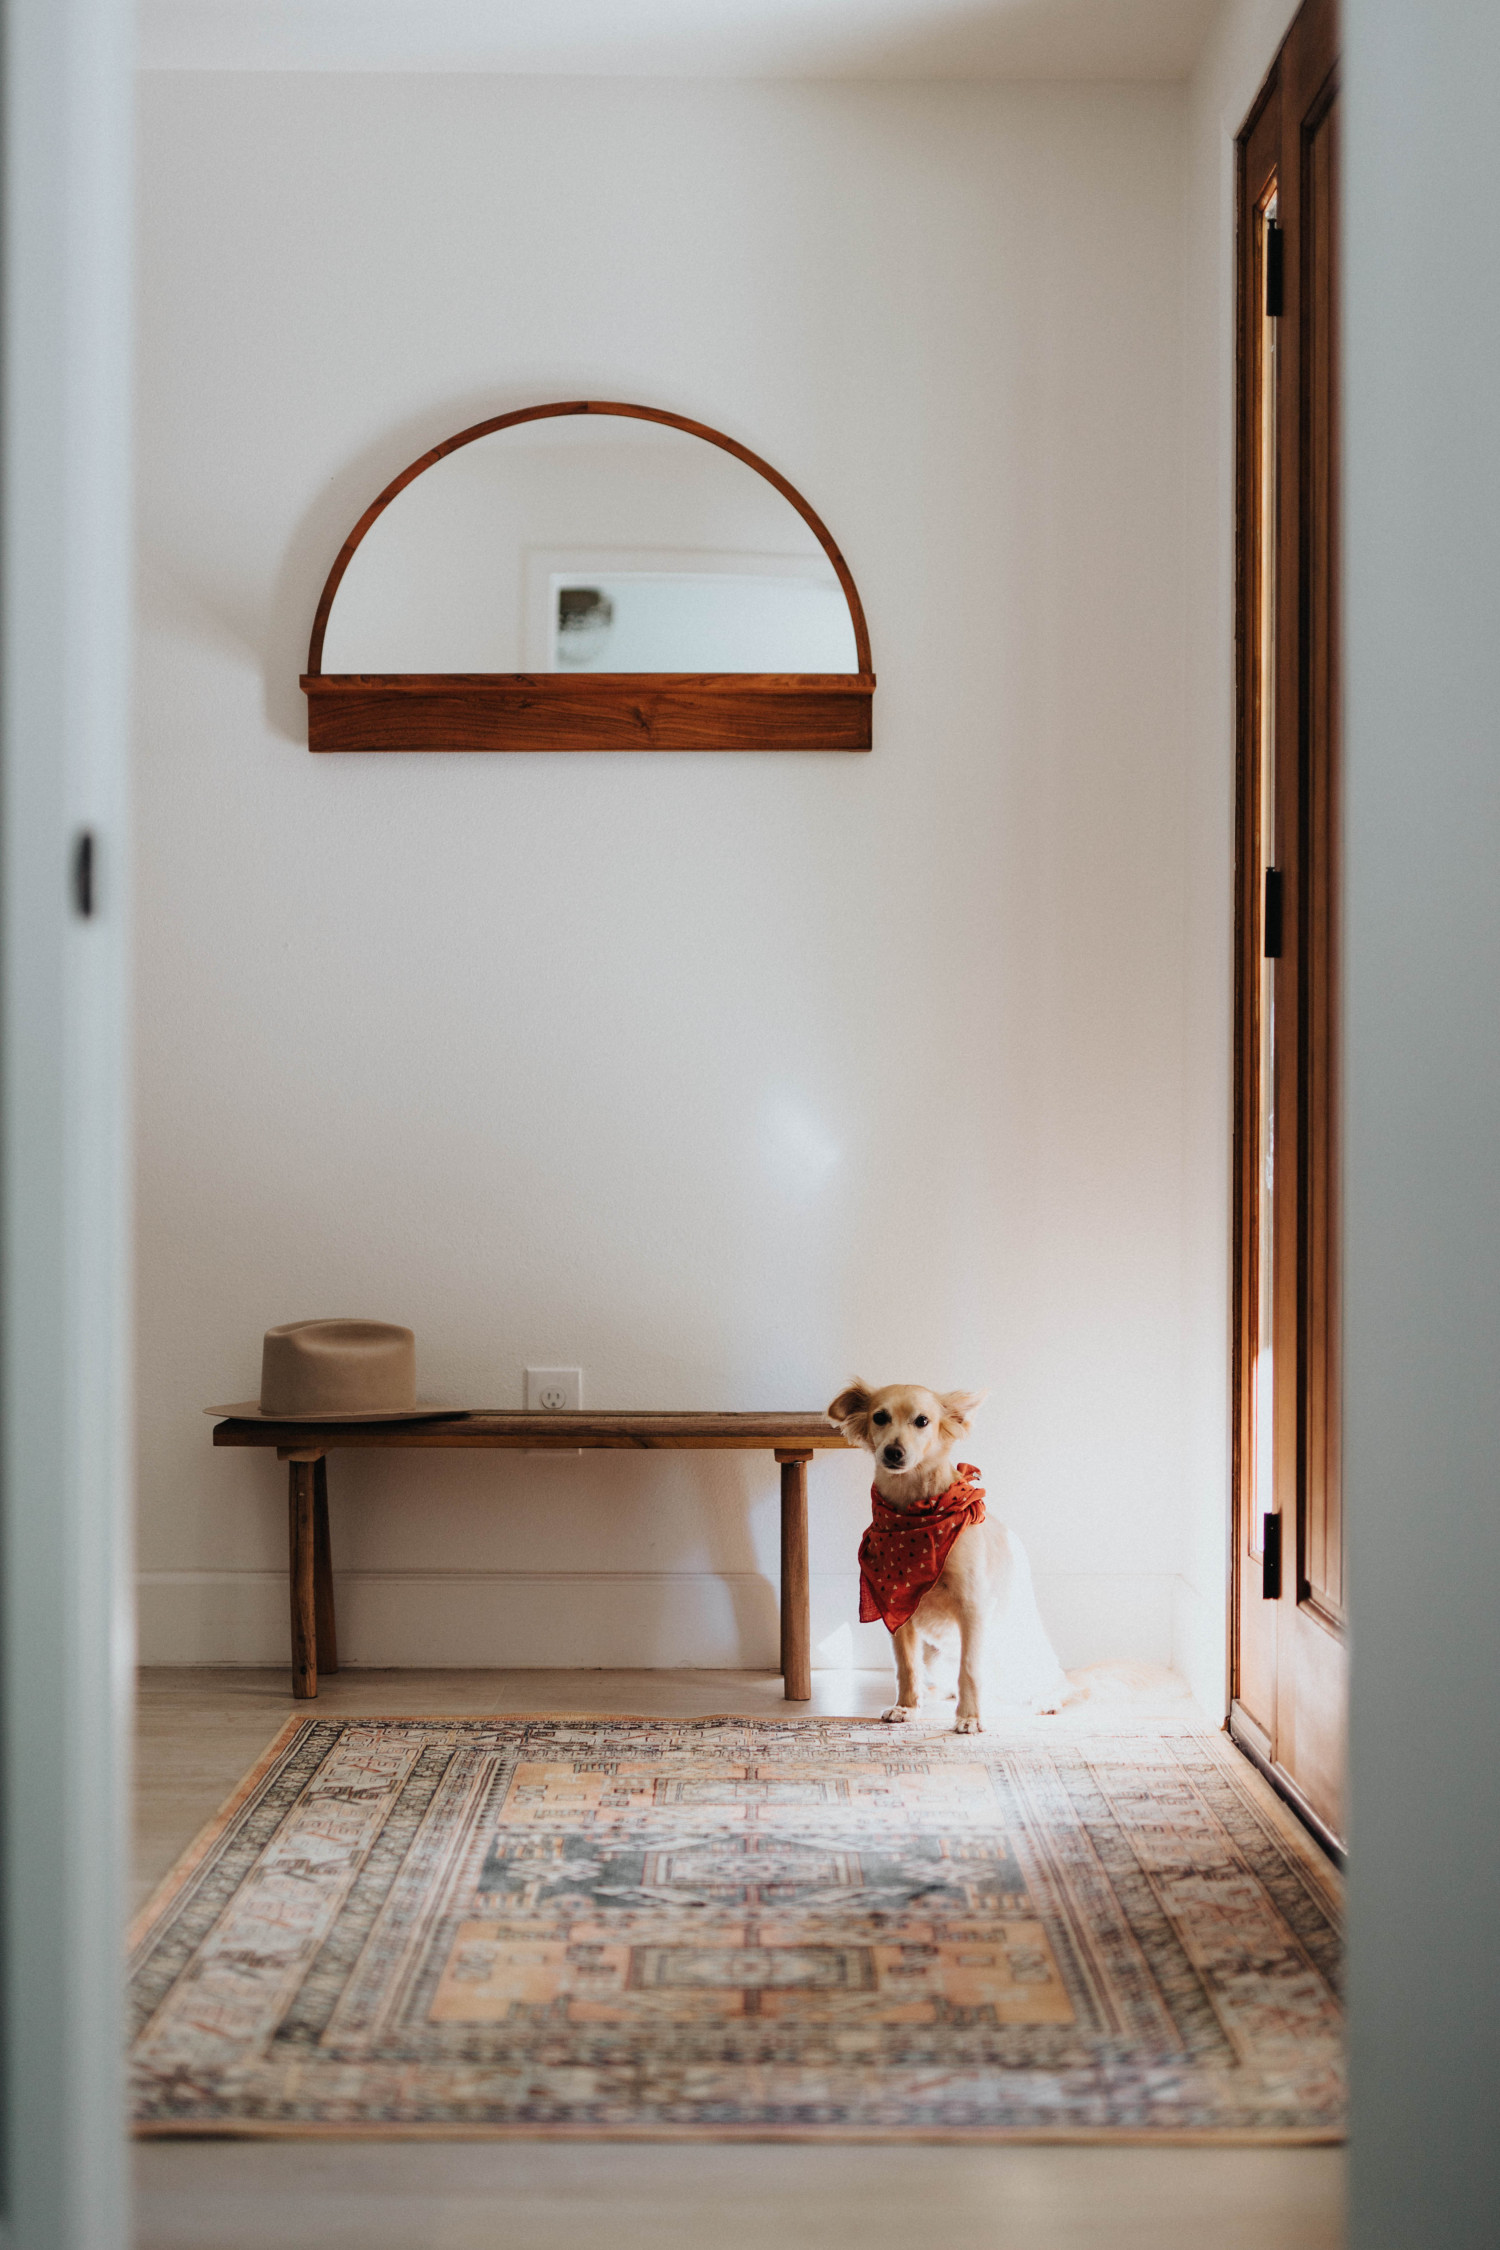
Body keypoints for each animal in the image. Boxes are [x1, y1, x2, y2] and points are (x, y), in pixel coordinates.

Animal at [828, 1380, 1069, 1733]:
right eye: (880, 1417)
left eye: (922, 1421)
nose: (893, 1452)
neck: (913, 1515)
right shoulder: (898, 1609)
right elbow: (906, 1666)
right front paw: (907, 1707)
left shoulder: (972, 1606)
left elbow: (969, 1669)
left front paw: (969, 1717)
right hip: (935, 1655)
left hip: (1025, 1652)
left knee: (1060, 1681)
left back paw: (1046, 1700)